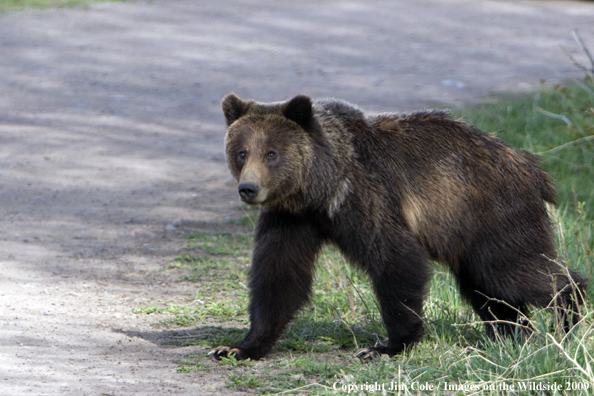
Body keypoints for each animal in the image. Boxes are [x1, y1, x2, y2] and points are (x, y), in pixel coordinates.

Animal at [208, 94, 584, 360]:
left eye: (271, 153)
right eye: (242, 152)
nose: (248, 189)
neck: (320, 189)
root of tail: (532, 166)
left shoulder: (366, 197)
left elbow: (395, 257)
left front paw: (386, 345)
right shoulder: (292, 218)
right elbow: (278, 274)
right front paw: (238, 346)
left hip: (492, 215)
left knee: (514, 271)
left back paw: (568, 314)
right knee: (485, 287)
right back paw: (513, 332)